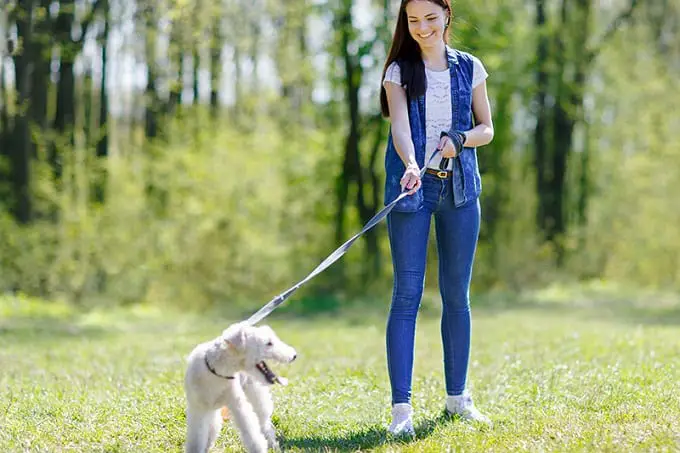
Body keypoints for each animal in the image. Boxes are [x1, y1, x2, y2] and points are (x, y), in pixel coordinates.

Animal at [183, 322, 298, 452]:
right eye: (269, 343)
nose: (294, 355)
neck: (216, 371)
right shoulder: (198, 408)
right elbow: (197, 438)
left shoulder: (238, 405)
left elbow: (251, 433)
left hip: (257, 398)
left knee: (265, 424)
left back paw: (273, 445)